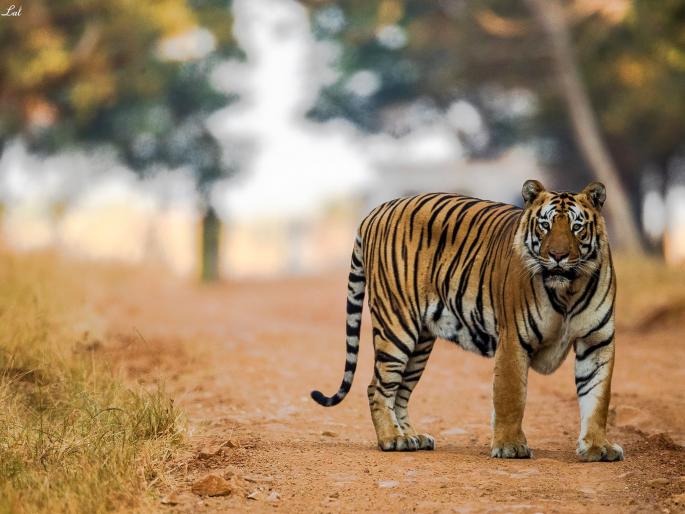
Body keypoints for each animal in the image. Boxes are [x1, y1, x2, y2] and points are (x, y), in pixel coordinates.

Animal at [311, 179, 623, 461]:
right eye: (544, 225)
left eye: (576, 227)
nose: (558, 256)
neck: (568, 290)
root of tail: (376, 211)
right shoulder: (514, 339)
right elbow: (510, 396)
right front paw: (510, 447)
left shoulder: (597, 341)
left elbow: (597, 396)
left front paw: (598, 448)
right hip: (397, 324)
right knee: (377, 387)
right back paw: (392, 440)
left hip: (420, 341)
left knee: (400, 391)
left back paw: (411, 437)